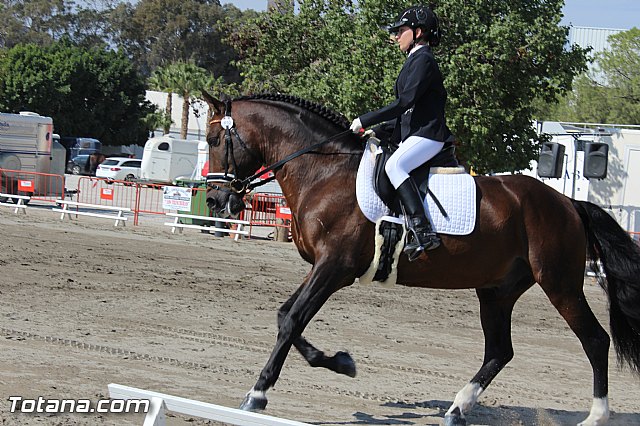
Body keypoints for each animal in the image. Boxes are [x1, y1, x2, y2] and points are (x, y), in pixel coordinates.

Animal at [201, 91, 640, 426]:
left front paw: (257, 394)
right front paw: (341, 363)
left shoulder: (334, 268)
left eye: (214, 139)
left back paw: (595, 416)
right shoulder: (321, 269)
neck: (323, 171)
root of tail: (568, 203)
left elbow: (292, 320)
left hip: (560, 283)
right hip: (497, 291)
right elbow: (286, 317)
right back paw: (457, 409)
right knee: (500, 351)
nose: (216, 201)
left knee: (595, 340)